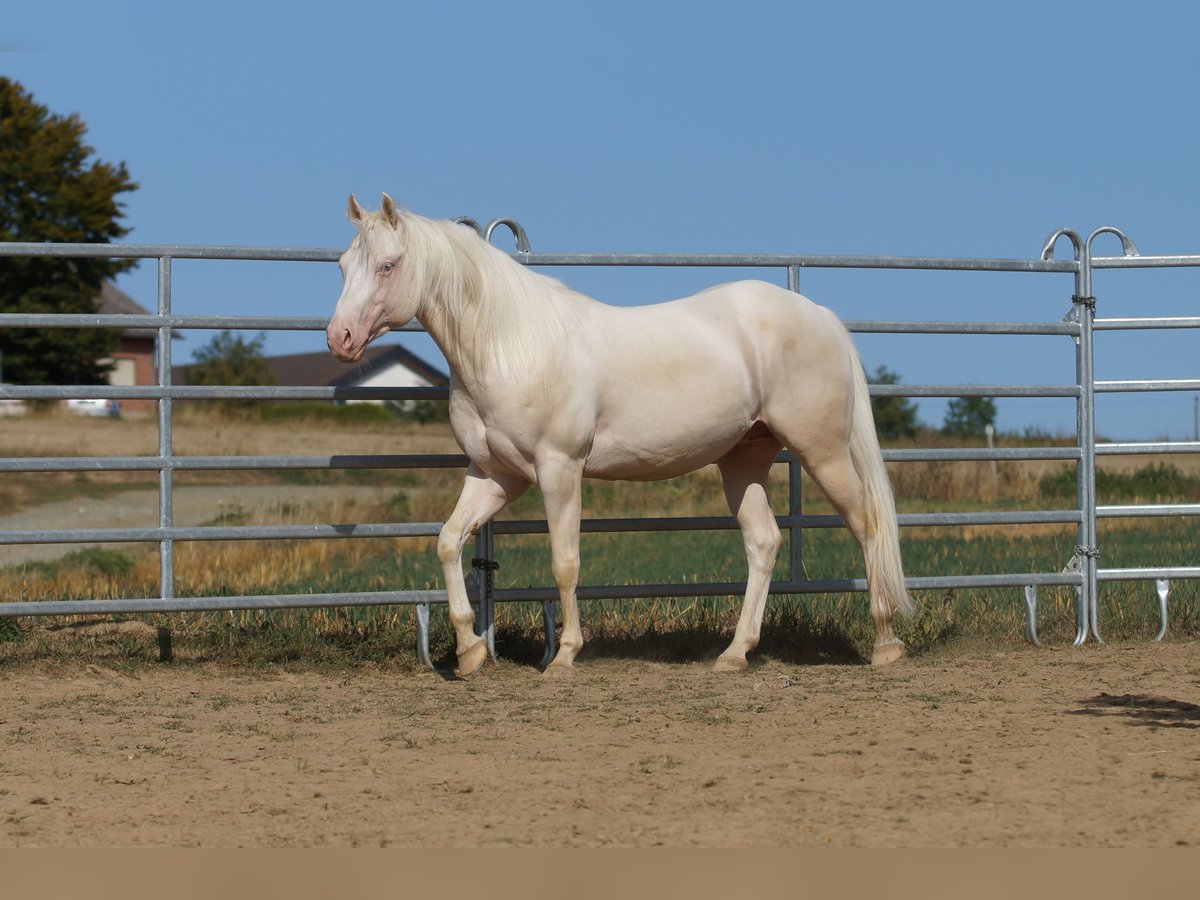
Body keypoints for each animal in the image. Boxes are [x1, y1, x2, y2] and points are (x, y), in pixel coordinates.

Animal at [324, 195, 912, 676]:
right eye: (344, 265)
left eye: (388, 265)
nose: (340, 338)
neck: (511, 344)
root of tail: (820, 316)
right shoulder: (495, 476)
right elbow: (448, 542)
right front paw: (469, 652)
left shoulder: (559, 470)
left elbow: (565, 563)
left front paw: (564, 656)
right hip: (743, 460)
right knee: (764, 542)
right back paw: (734, 654)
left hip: (822, 451)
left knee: (866, 524)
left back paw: (885, 643)